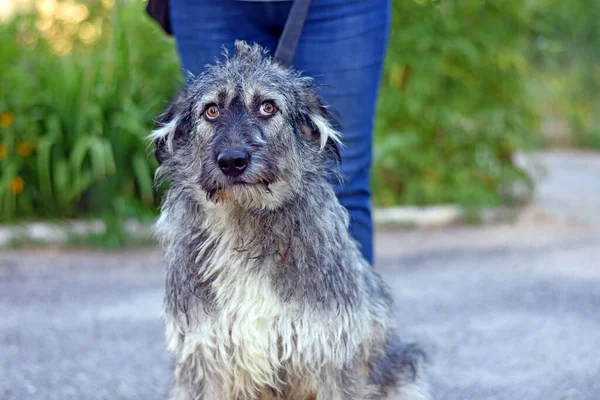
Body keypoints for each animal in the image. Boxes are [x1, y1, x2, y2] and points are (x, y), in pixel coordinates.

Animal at [151, 41, 432, 400]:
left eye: (268, 107)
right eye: (211, 110)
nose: (232, 160)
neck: (246, 223)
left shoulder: (330, 354)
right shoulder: (206, 358)